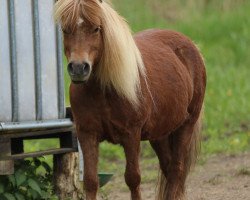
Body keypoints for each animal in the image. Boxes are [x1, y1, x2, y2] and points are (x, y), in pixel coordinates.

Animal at [54, 0, 205, 199]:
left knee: (176, 170)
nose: (79, 68)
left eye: (96, 28)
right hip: (160, 134)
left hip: (186, 125)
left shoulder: (131, 134)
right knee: (168, 168)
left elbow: (133, 179)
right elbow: (91, 181)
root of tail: (191, 46)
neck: (103, 92)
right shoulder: (87, 134)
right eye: (65, 29)